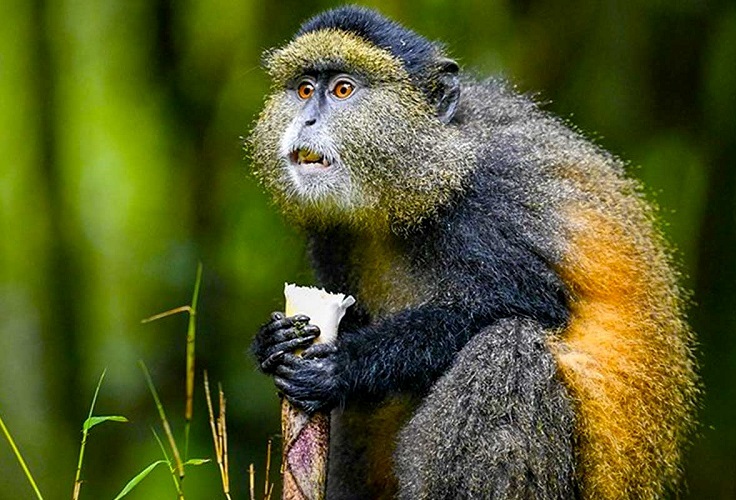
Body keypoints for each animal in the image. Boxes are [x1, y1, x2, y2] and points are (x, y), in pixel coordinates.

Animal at [248, 6, 699, 499]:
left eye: (343, 89)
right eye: (304, 89)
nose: (306, 121)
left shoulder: (489, 198)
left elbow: (532, 303)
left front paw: (344, 365)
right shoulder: (331, 234)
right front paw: (272, 341)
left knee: (510, 345)